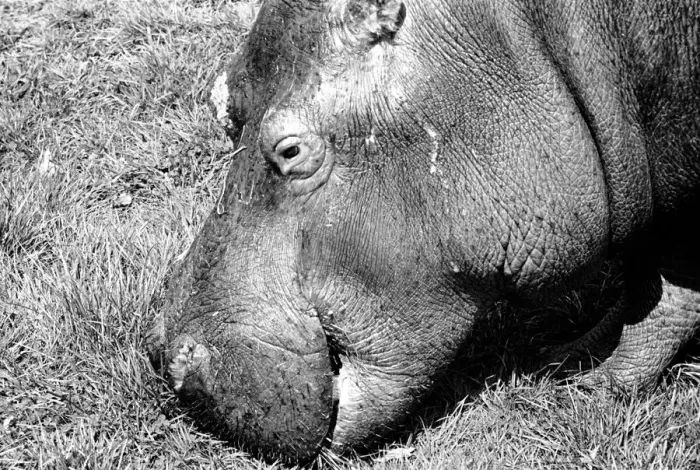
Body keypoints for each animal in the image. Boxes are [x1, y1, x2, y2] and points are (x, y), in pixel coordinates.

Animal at [148, 0, 700, 464]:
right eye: (221, 103)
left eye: (291, 150)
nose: (168, 359)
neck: (527, 30)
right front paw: (571, 358)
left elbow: (661, 285)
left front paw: (598, 385)